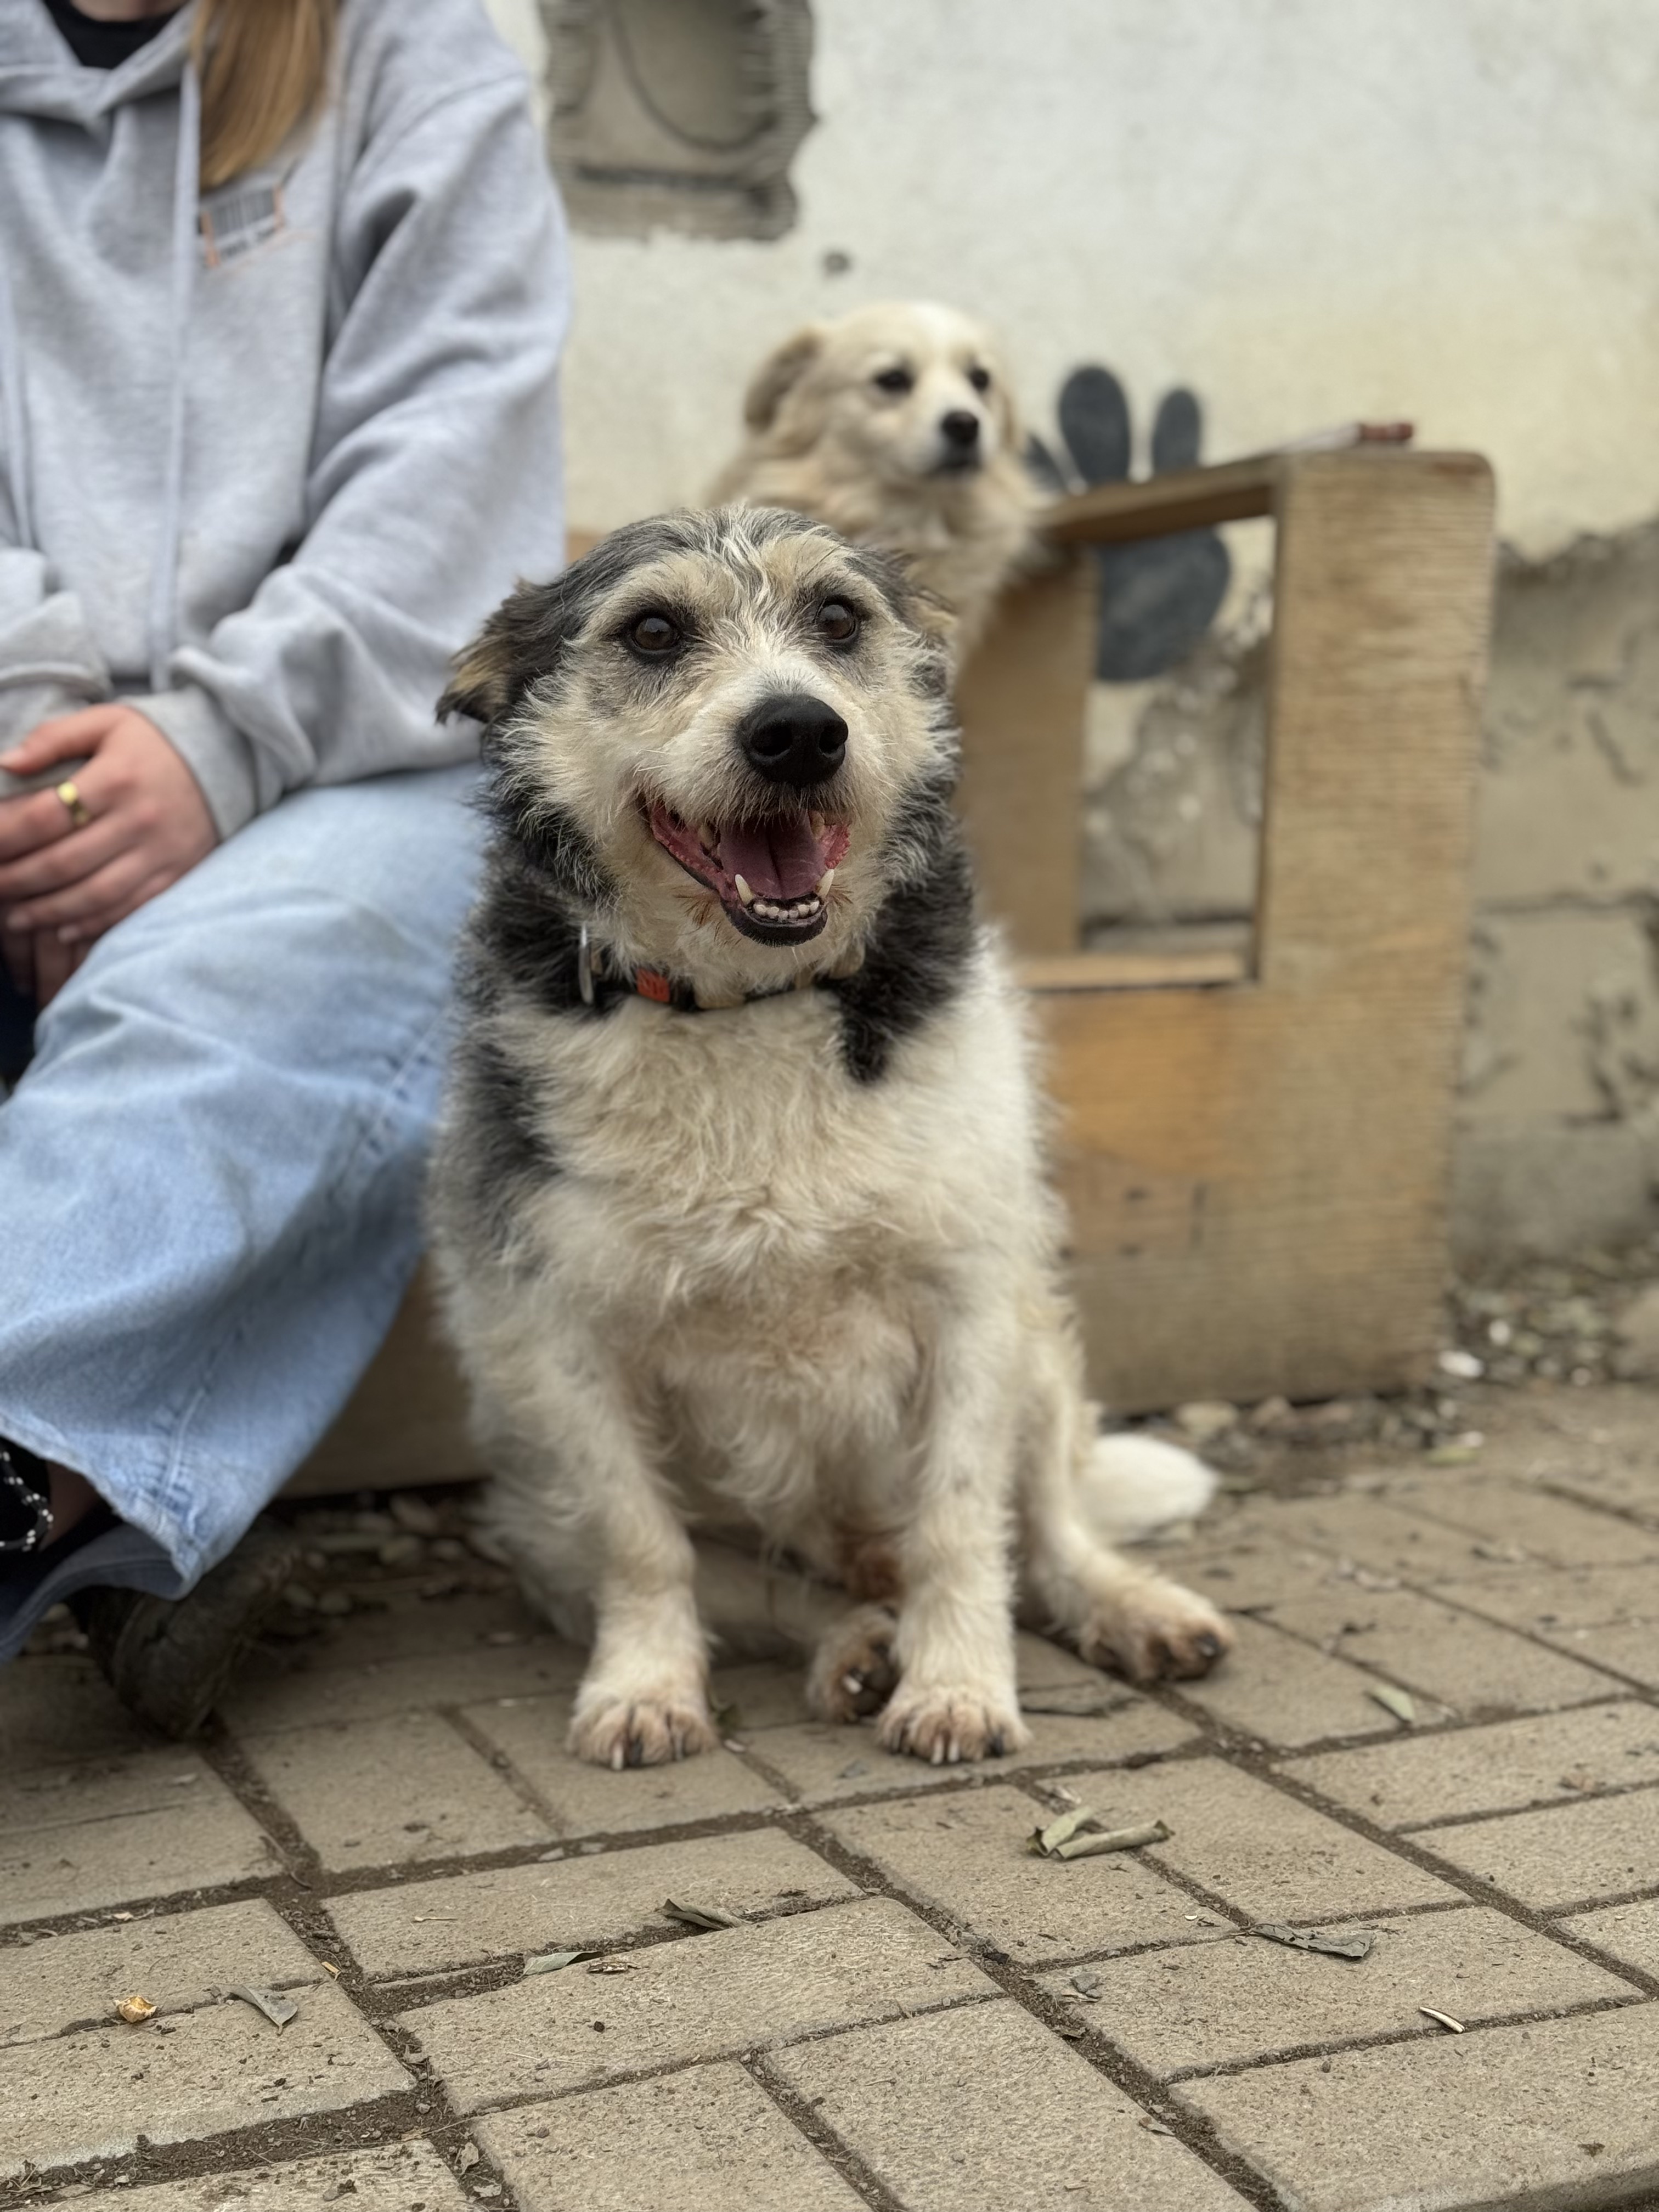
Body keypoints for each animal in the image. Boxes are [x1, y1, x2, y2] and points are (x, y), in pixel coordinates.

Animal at [430, 505, 1231, 1769]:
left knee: (1047, 1529)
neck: (750, 1003)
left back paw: (1125, 1609)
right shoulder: (559, 1341)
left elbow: (961, 1522)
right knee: (774, 1590)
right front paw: (644, 1686)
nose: (798, 732)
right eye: (652, 631)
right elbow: (641, 1544)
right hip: (536, 1509)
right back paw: (851, 1647)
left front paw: (957, 1685)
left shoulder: (969, 1304)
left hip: (1037, 1347)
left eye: (840, 619)